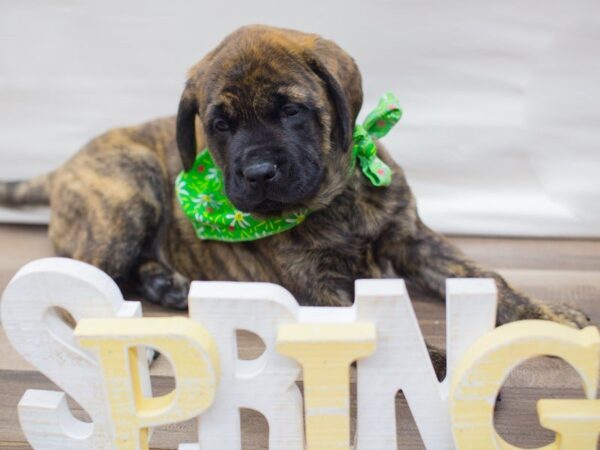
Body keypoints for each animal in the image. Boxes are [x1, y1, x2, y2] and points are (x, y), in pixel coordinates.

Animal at [0, 25, 592, 376]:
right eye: (220, 124)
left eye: (291, 111)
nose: (259, 172)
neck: (335, 198)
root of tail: (63, 167)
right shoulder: (318, 286)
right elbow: (376, 324)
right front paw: (423, 363)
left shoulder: (416, 241)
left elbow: (489, 278)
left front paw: (550, 316)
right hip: (132, 187)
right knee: (77, 281)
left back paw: (167, 284)